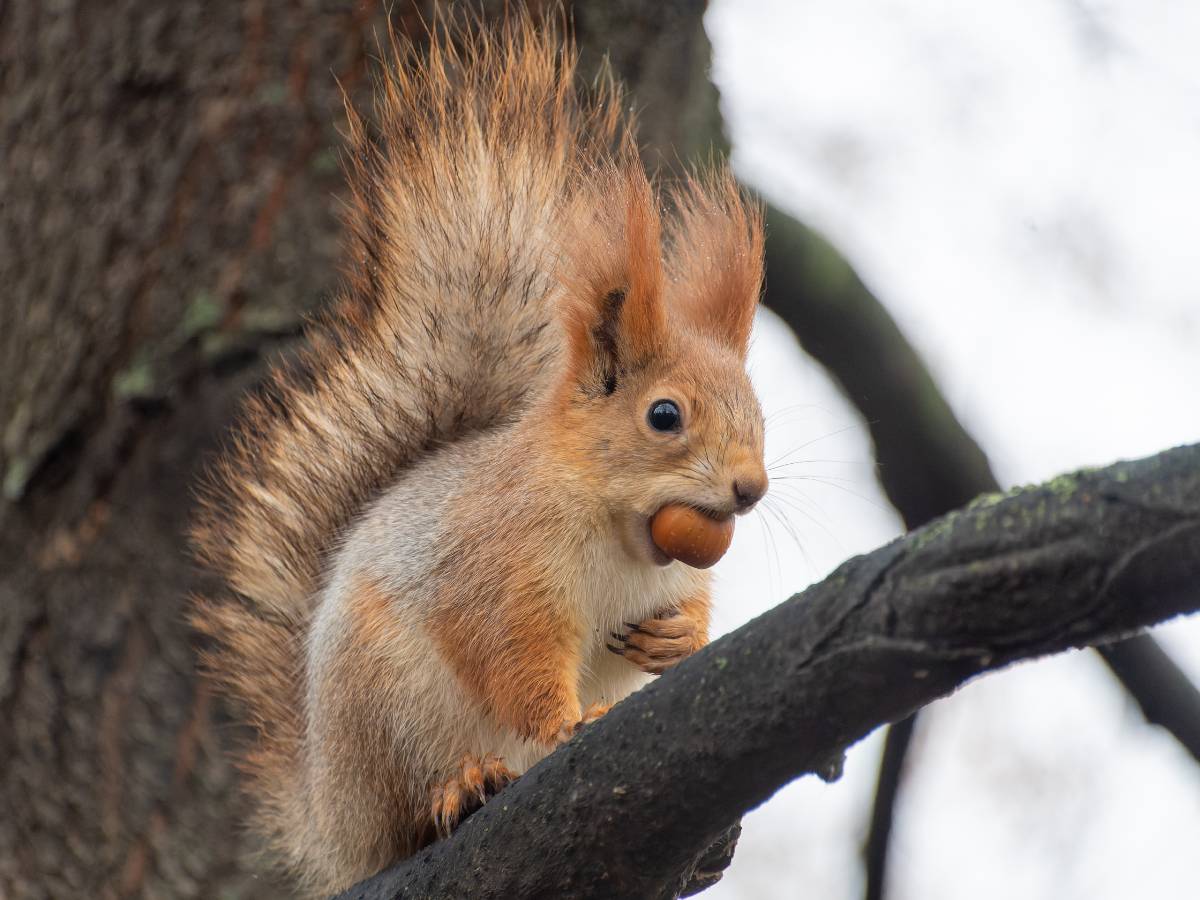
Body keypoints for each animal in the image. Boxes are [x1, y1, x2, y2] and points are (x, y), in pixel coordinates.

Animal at [189, 10, 768, 897]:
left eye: (759, 412)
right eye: (664, 415)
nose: (749, 489)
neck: (621, 531)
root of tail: (330, 822)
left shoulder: (675, 575)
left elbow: (689, 615)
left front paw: (678, 642)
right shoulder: (498, 568)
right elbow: (511, 656)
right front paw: (564, 723)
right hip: (385, 709)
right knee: (410, 810)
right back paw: (461, 786)